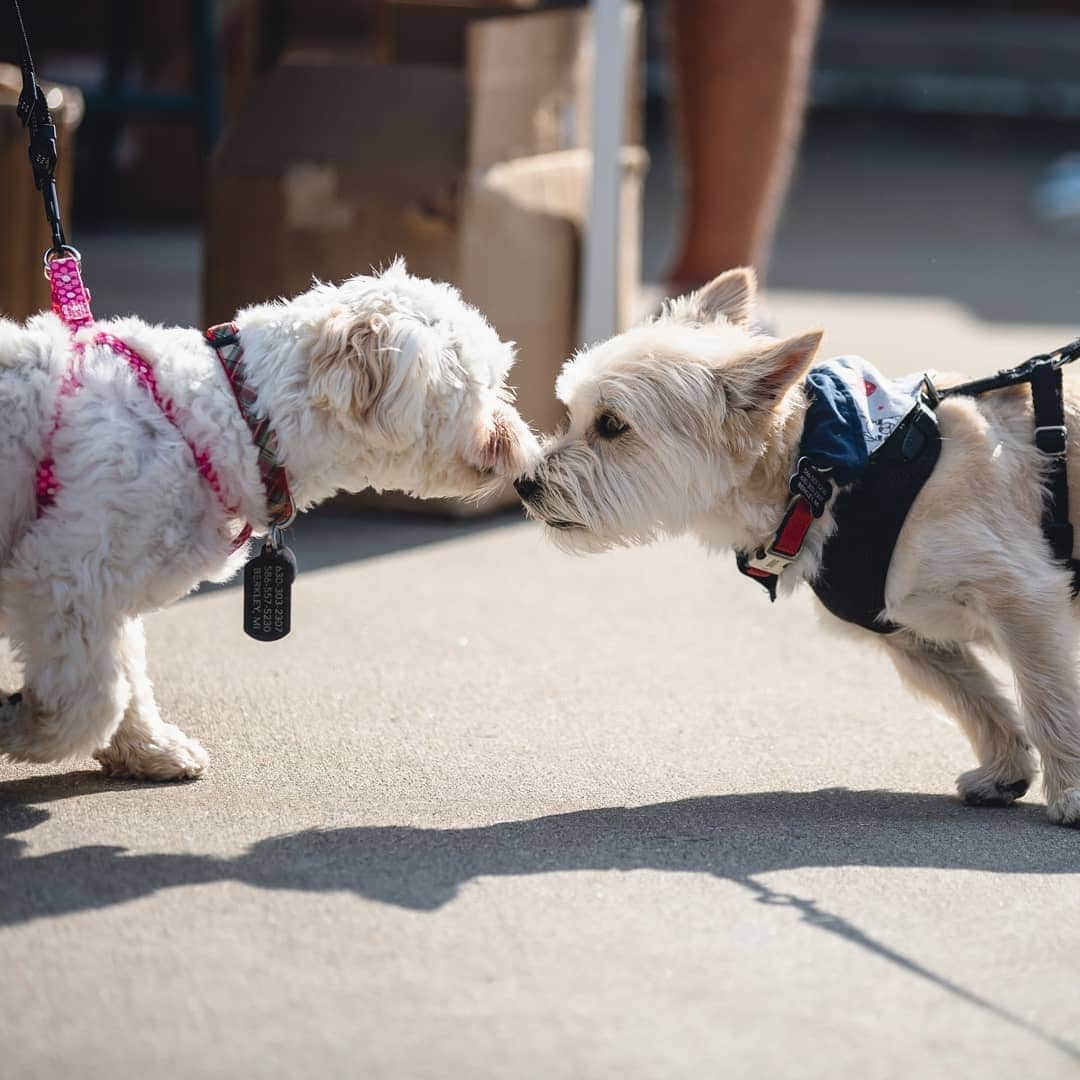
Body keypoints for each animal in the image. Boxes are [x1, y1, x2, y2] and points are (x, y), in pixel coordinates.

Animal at [0, 257, 537, 781]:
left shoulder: (101, 592)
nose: (524, 451)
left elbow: (123, 680)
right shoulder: (64, 576)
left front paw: (149, 749)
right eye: (482, 385)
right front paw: (20, 726)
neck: (235, 416)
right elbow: (97, 700)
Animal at [514, 267, 1080, 825]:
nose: (523, 484)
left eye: (611, 425)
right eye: (572, 413)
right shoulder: (912, 637)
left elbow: (1045, 696)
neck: (826, 476)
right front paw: (1004, 771)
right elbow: (977, 700)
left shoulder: (1024, 600)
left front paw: (1071, 792)